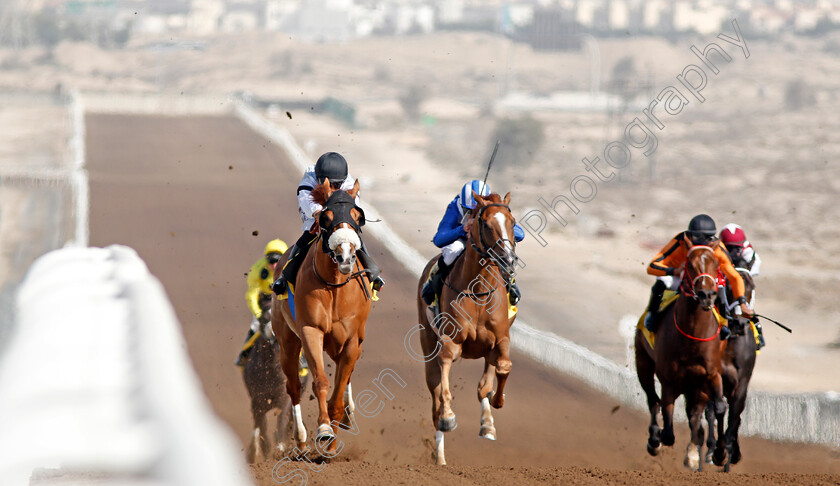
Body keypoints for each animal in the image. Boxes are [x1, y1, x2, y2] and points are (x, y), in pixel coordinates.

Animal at [272, 179, 370, 456]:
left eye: (357, 216)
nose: (346, 255)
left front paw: (333, 440)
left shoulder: (351, 340)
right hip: (287, 341)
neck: (335, 286)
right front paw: (324, 429)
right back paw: (301, 439)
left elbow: (339, 389)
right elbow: (321, 382)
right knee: (293, 387)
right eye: (326, 217)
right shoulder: (310, 331)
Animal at [418, 192, 520, 466]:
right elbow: (444, 381)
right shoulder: (449, 341)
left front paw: (496, 403)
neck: (479, 291)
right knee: (434, 395)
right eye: (485, 224)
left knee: (484, 381)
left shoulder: (500, 339)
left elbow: (502, 368)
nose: (508, 260)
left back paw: (487, 424)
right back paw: (440, 457)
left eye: (512, 222)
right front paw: (449, 417)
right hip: (427, 341)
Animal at [636, 245, 728, 468]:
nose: (706, 294)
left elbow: (719, 407)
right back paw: (654, 440)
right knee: (653, 400)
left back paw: (693, 453)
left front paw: (719, 454)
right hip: (643, 363)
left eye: (716, 264)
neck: (692, 338)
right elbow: (668, 430)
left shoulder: (711, 375)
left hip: (696, 386)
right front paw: (658, 439)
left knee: (694, 414)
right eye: (690, 265)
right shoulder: (669, 380)